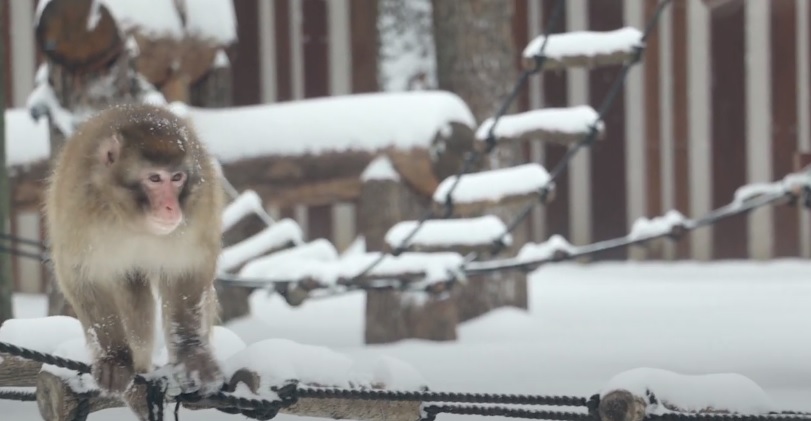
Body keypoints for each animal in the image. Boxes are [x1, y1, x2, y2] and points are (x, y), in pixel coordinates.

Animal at [44, 102, 228, 404]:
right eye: (154, 178)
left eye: (176, 178)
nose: (171, 208)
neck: (131, 220)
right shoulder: (78, 209)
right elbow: (83, 276)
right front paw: (114, 358)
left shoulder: (199, 208)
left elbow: (187, 269)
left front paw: (191, 353)